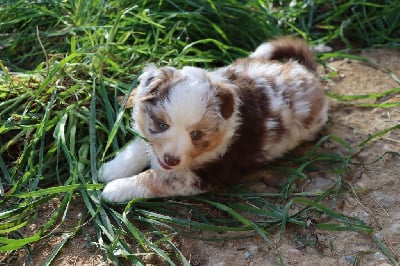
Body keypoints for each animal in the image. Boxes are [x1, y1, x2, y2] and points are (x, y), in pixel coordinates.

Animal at [100, 37, 328, 202]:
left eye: (196, 134)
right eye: (161, 124)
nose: (171, 160)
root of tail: (307, 70)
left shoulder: (204, 175)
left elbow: (159, 178)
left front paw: (116, 188)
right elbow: (137, 147)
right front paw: (109, 170)